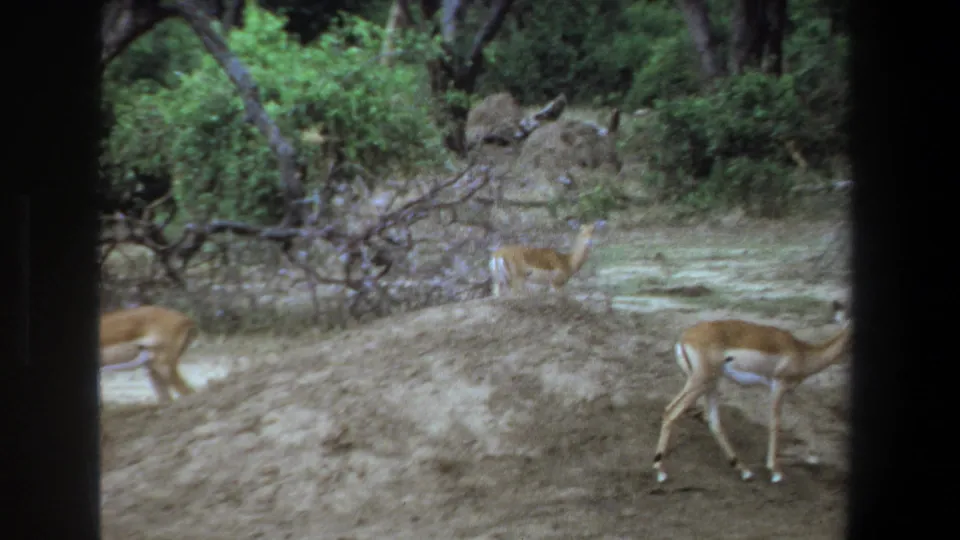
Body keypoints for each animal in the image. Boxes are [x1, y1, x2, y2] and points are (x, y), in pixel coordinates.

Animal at [653, 300, 851, 484]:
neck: (801, 352)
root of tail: (683, 339)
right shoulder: (778, 387)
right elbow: (775, 423)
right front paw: (776, 472)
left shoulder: (791, 391)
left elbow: (807, 420)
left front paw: (813, 458)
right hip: (701, 383)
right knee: (672, 412)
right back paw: (661, 471)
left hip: (709, 385)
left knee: (710, 421)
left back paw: (744, 471)